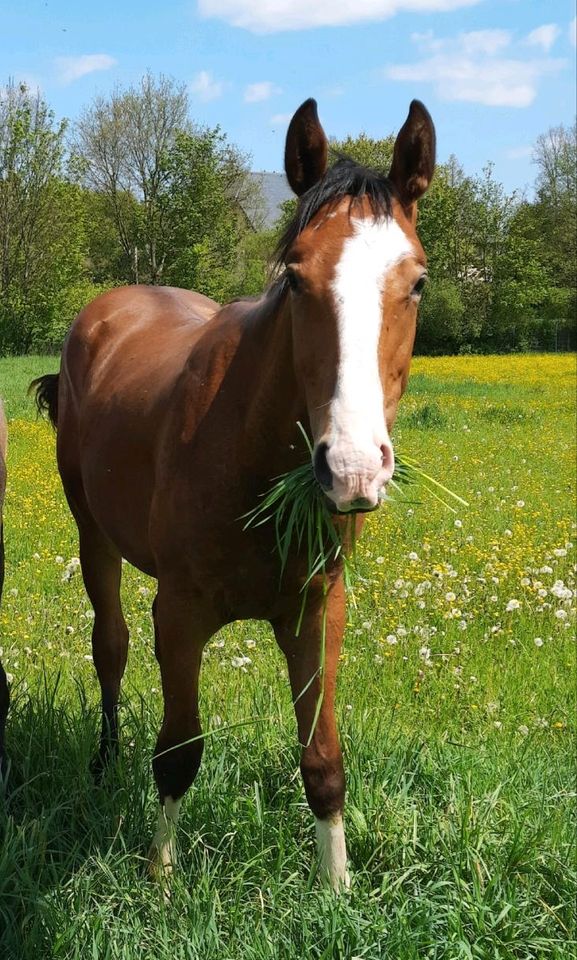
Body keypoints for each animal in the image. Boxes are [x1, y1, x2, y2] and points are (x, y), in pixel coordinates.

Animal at [33, 101, 434, 888]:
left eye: (417, 282)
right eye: (296, 277)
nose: (352, 469)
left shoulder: (318, 611)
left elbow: (323, 761)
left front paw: (336, 887)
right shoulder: (181, 613)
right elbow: (178, 752)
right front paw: (160, 877)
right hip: (92, 534)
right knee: (110, 646)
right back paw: (103, 764)